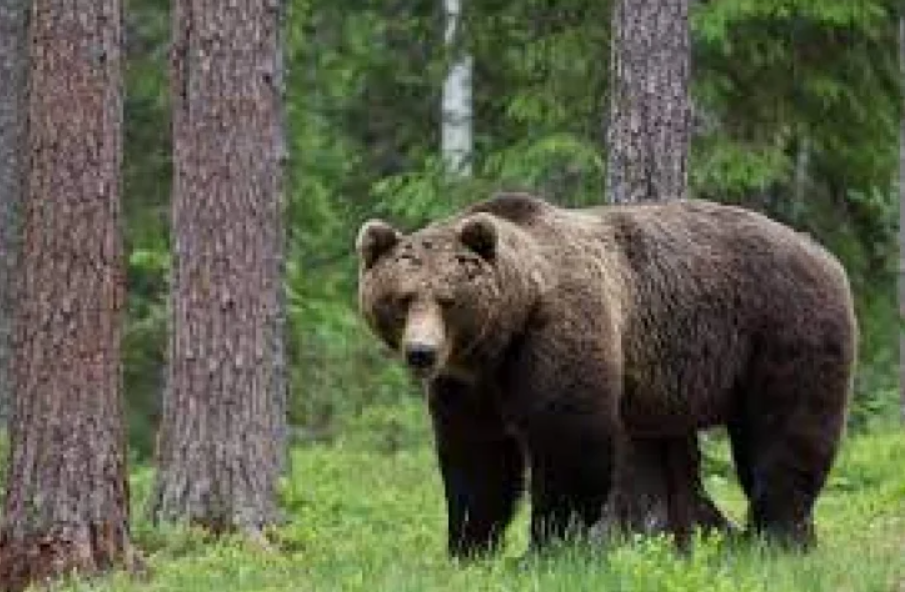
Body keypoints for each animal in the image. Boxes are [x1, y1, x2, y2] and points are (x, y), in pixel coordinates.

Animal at [354, 192, 856, 556]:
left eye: (449, 299)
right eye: (401, 298)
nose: (421, 353)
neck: (507, 329)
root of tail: (824, 253)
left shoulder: (560, 329)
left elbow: (568, 440)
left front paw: (547, 548)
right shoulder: (471, 383)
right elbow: (477, 456)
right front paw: (470, 547)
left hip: (784, 327)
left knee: (785, 433)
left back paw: (776, 537)